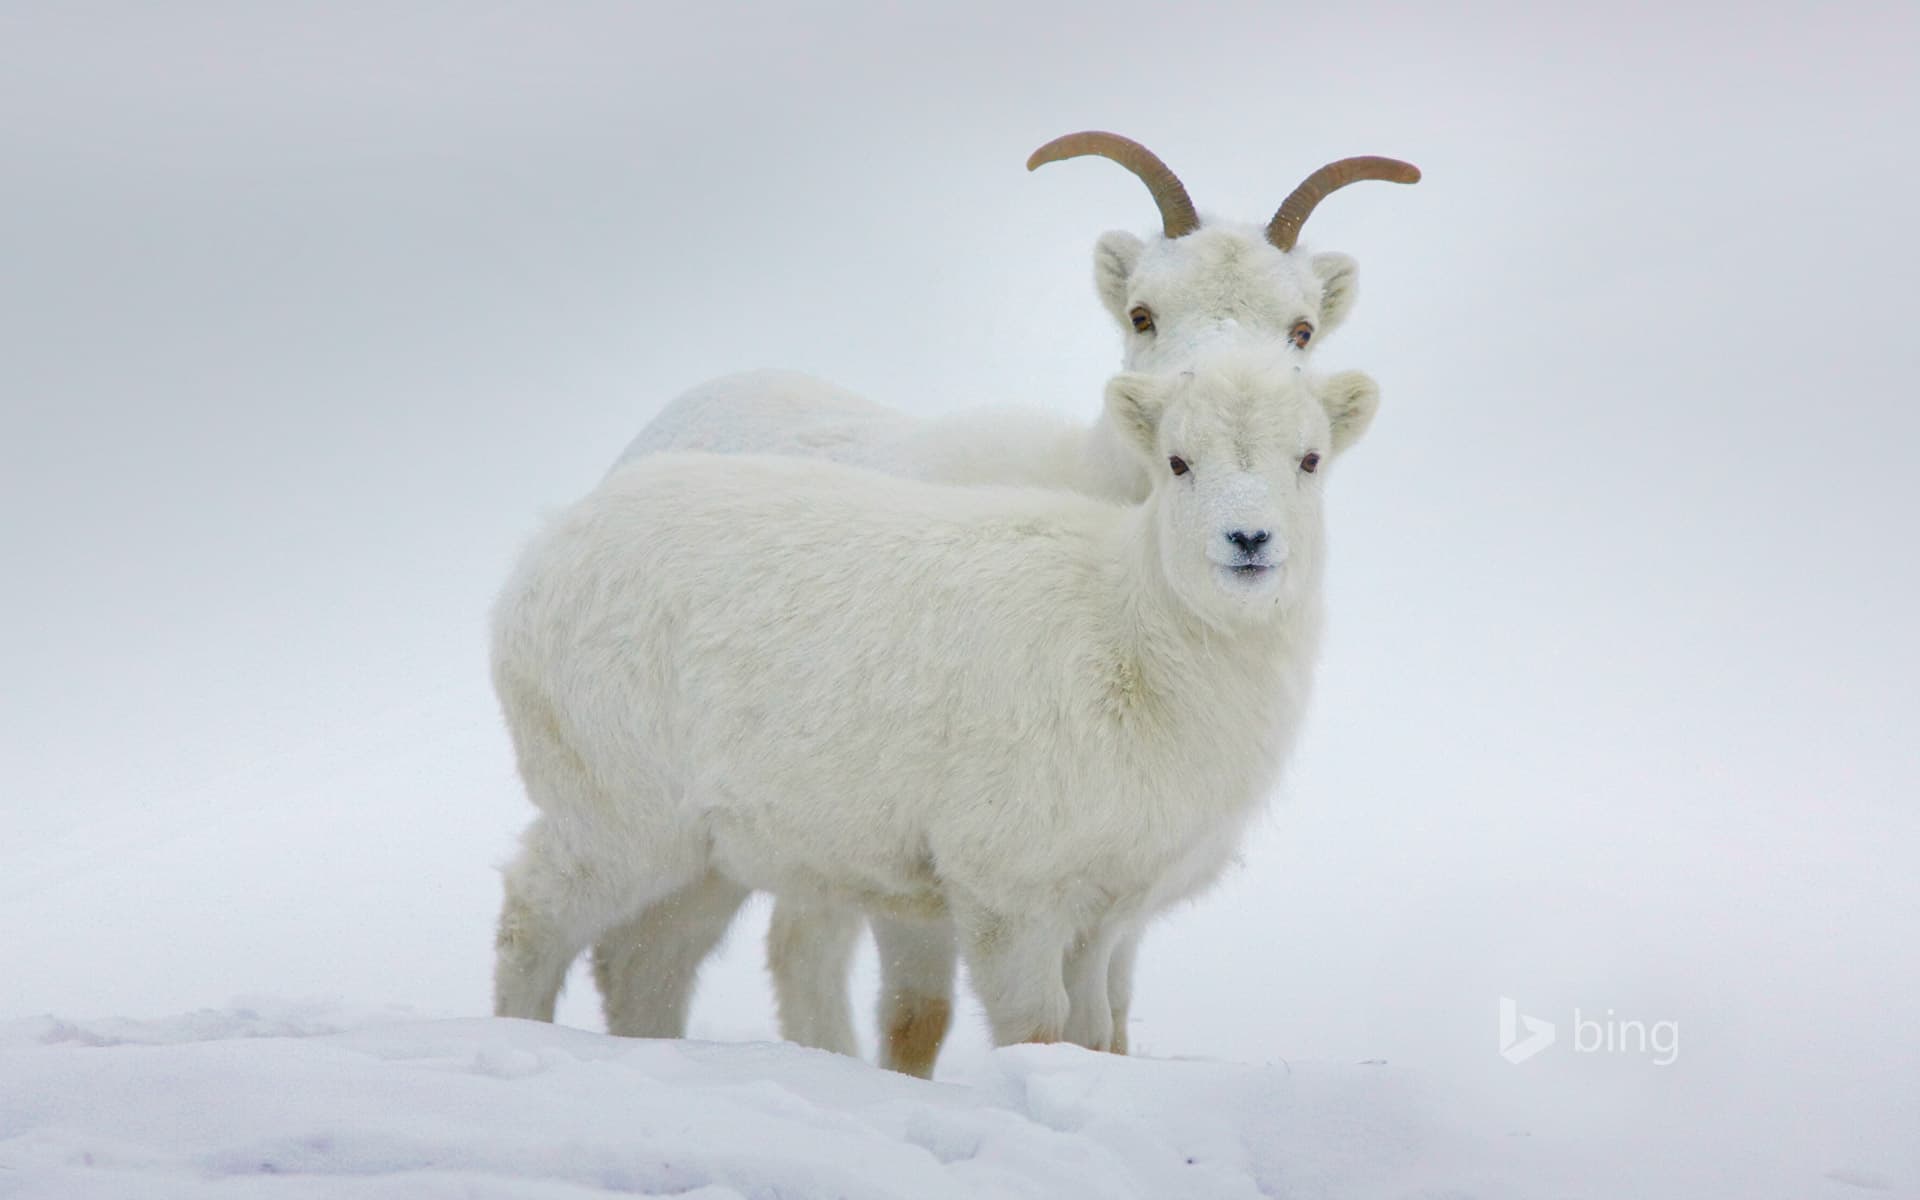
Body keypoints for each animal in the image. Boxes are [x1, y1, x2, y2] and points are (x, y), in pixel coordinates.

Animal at [491, 354, 1381, 1060]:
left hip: (707, 852)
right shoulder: (1009, 890)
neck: (1132, 636)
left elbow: (1093, 1033)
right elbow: (1036, 1029)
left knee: (644, 963)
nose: (1248, 540)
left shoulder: (1101, 912)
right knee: (534, 915)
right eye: (1178, 461)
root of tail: (540, 553)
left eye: (1309, 459)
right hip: (616, 812)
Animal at [591, 133, 1417, 1076]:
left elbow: (1111, 1025)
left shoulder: (1114, 886)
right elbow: (919, 1017)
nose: (1213, 395)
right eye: (1142, 314)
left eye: (1302, 328)